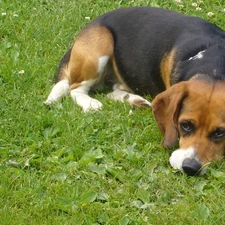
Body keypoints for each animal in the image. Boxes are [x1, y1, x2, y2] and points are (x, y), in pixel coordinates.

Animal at [44, 6, 225, 176]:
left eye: (220, 133)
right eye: (185, 125)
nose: (190, 168)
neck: (214, 67)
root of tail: (91, 24)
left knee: (112, 91)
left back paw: (135, 101)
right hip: (100, 45)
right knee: (75, 88)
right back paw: (91, 103)